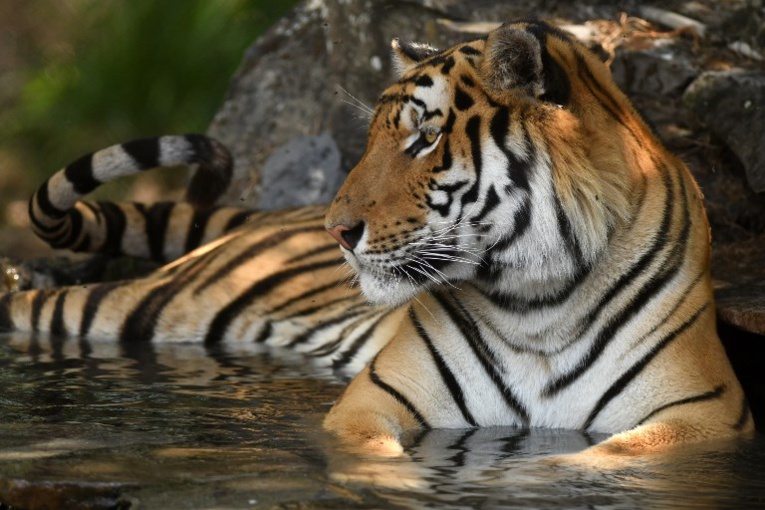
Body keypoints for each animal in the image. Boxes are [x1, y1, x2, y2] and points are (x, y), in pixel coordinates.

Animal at [2, 20, 753, 460]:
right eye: (370, 140)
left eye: (423, 139)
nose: (336, 231)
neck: (538, 299)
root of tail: (279, 213)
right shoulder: (371, 400)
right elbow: (375, 453)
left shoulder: (701, 412)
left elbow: (609, 455)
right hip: (133, 307)